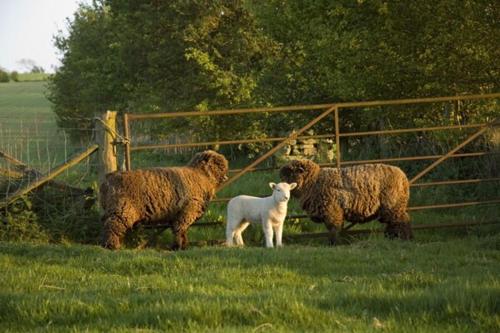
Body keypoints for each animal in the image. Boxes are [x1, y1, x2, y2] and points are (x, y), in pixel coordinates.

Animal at [100, 150, 229, 249]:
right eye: (218, 165)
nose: (226, 178)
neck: (201, 175)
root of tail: (107, 180)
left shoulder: (178, 213)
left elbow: (180, 229)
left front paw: (182, 245)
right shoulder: (188, 210)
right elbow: (180, 228)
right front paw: (179, 246)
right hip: (123, 209)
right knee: (112, 226)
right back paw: (112, 246)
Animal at [280, 160, 412, 243]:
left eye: (290, 173)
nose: (280, 185)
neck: (314, 182)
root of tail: (403, 178)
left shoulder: (332, 211)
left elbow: (334, 228)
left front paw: (333, 243)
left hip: (393, 206)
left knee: (401, 221)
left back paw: (404, 239)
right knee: (396, 222)